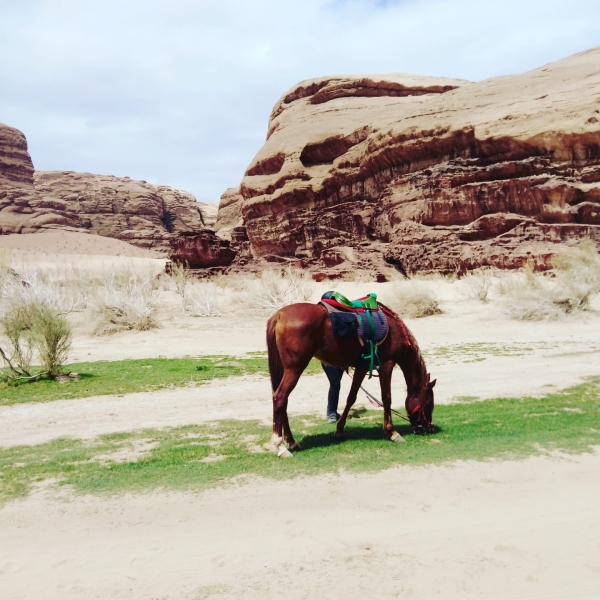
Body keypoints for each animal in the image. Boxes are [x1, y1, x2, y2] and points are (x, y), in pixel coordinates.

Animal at [268, 302, 436, 458]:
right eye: (429, 402)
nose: (429, 427)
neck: (395, 329)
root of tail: (279, 314)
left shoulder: (361, 368)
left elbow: (351, 398)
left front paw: (339, 431)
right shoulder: (387, 365)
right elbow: (387, 398)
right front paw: (392, 432)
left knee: (282, 400)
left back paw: (291, 441)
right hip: (294, 369)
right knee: (280, 397)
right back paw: (280, 446)